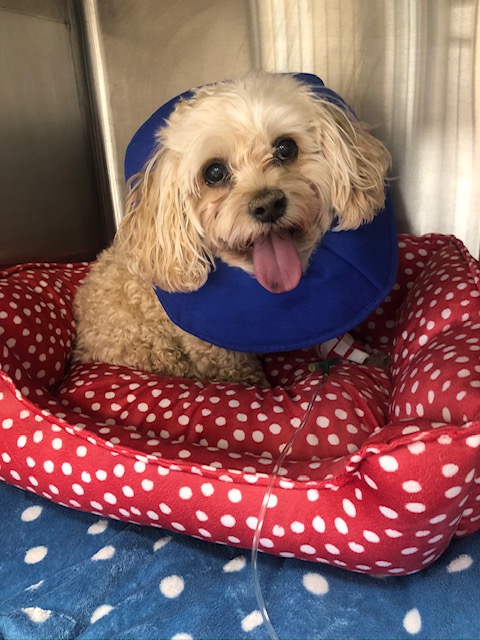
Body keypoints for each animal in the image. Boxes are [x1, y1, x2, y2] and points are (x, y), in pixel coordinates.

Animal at [74, 73, 390, 388]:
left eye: (286, 148)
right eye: (214, 172)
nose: (268, 205)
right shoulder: (209, 348)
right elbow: (234, 371)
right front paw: (255, 385)